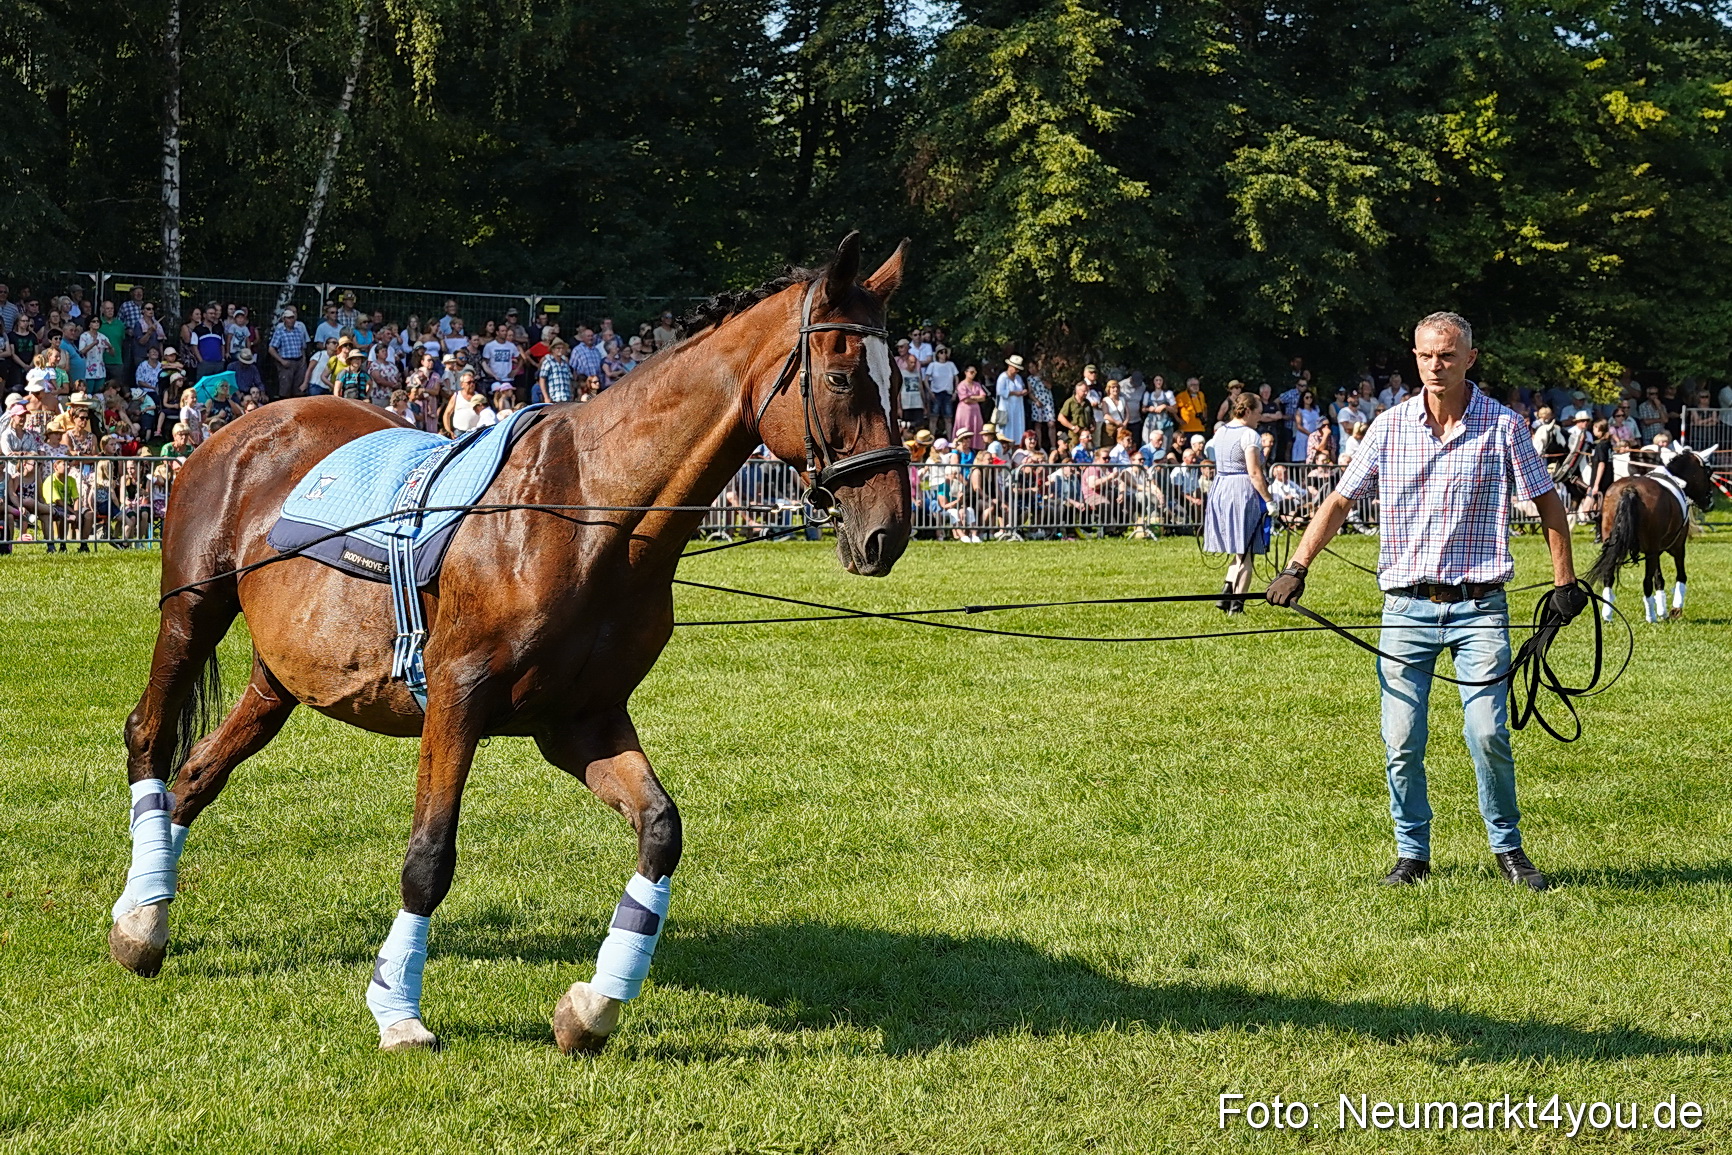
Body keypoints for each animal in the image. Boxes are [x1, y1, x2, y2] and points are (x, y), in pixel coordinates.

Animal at [107, 233, 913, 1054]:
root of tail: (244, 427)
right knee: (150, 737)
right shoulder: (456, 700)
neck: (589, 514)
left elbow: (661, 830)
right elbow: (429, 860)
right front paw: (398, 1010)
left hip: (283, 674)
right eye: (844, 377)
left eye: (901, 381)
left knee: (197, 772)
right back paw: (139, 925)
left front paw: (592, 1006)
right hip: (192, 613)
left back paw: (148, 912)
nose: (887, 531)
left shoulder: (581, 721)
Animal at [1586, 445, 1717, 622]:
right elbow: (1680, 576)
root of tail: (1630, 490)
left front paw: (1663, 610)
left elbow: (1659, 578)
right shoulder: (1676, 547)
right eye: (1709, 472)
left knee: (1609, 576)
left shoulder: (1656, 550)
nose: (1710, 502)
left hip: (1614, 545)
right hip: (1652, 550)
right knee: (1646, 581)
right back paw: (1651, 617)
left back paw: (1608, 614)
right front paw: (1674, 609)